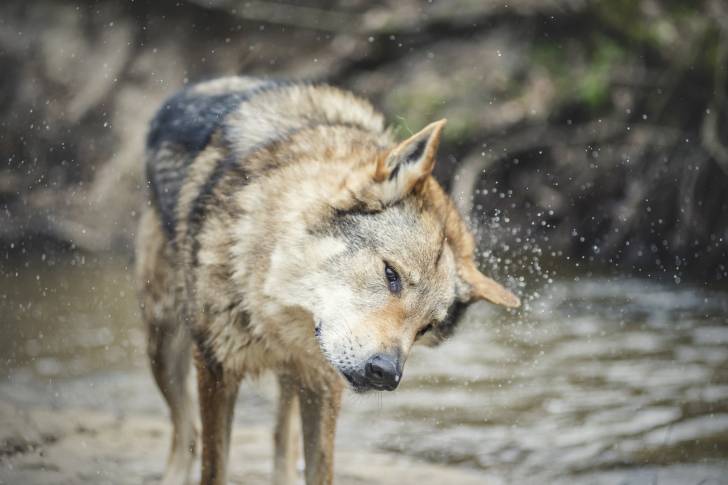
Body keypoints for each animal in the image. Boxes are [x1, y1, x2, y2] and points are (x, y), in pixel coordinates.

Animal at [135, 76, 520, 485]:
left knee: (280, 439)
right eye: (391, 275)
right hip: (162, 344)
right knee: (187, 430)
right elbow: (214, 469)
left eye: (426, 328)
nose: (386, 374)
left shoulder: (322, 384)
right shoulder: (216, 369)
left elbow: (318, 469)